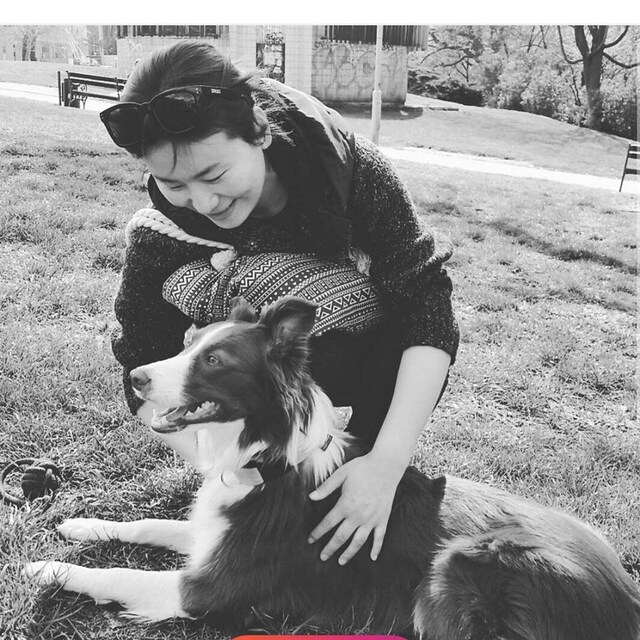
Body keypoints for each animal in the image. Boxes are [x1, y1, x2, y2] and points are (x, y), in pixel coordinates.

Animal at [26, 297, 640, 639]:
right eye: (186, 341)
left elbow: (113, 575)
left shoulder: (207, 589)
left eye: (215, 360)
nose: (135, 377)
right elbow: (147, 524)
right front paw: (81, 525)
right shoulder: (212, 533)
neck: (268, 459)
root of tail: (627, 598)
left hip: (457, 569)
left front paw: (44, 568)